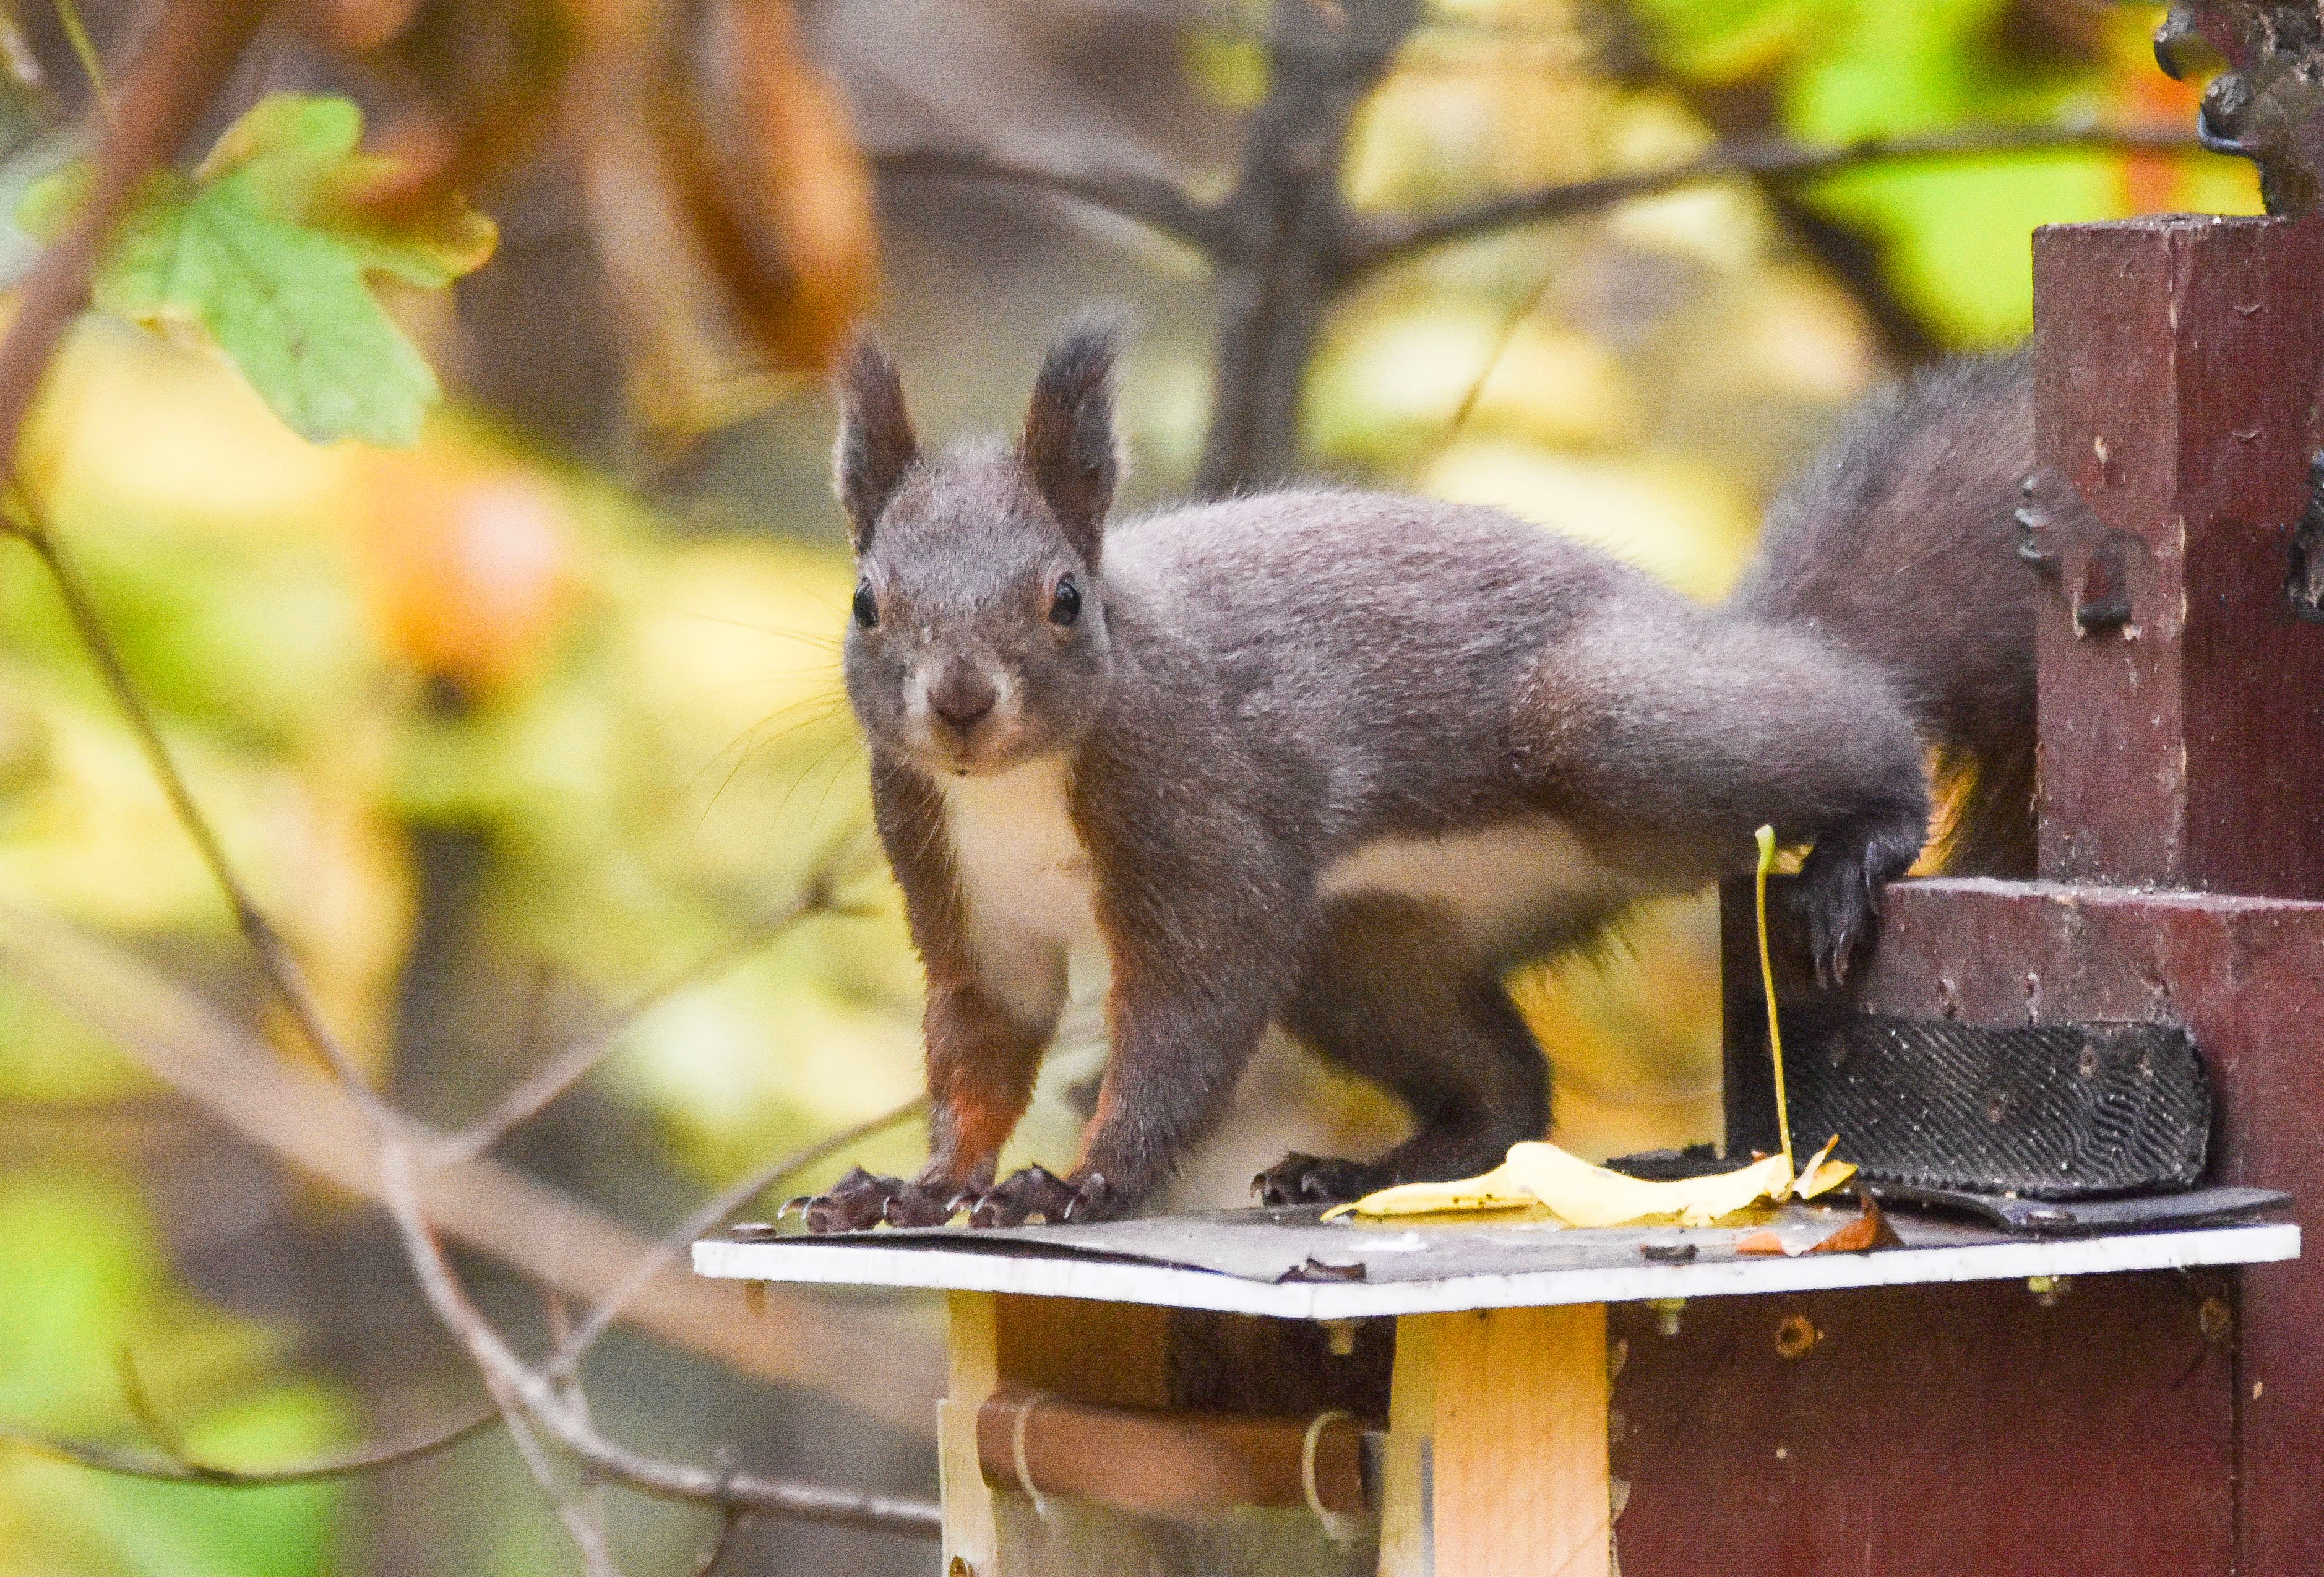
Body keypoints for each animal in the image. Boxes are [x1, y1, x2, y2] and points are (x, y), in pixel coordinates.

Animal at [799, 315, 2036, 1232]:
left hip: (1621, 737)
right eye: (865, 601)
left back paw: (1863, 843)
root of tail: (1720, 630)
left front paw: (1080, 1182)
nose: (961, 701)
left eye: (1064, 597)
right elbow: (983, 1043)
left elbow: (1186, 1019)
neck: (1008, 789)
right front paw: (913, 1187)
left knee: (1864, 733)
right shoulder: (955, 887)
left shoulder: (1196, 815)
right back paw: (1359, 1172)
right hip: (1365, 950)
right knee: (1505, 1095)